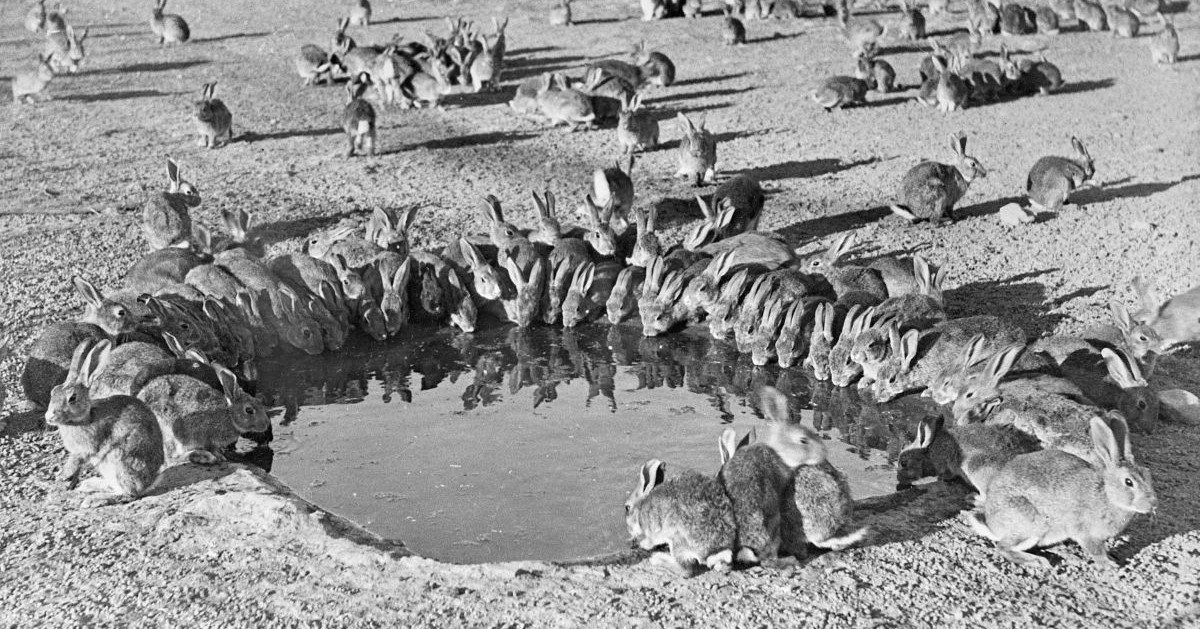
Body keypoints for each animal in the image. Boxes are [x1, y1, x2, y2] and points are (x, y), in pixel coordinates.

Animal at [46, 340, 164, 506]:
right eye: (52, 392)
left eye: (72, 398)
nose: (49, 417)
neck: (85, 417)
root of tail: (151, 480)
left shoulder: (85, 448)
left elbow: (76, 461)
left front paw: (63, 475)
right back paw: (89, 485)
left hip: (121, 462)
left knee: (130, 494)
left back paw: (94, 499)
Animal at [139, 364, 270, 465]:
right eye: (249, 410)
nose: (266, 424)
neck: (229, 415)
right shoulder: (205, 435)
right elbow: (210, 447)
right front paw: (219, 456)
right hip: (169, 432)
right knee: (171, 457)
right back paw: (203, 456)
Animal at [897, 414, 1041, 505]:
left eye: (903, 463)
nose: (899, 480)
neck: (930, 450)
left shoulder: (945, 464)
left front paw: (942, 478)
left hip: (976, 468)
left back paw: (972, 498)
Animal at [965, 414, 1156, 568]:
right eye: (1129, 482)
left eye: (1148, 474)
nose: (1152, 504)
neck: (1108, 496)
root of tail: (992, 524)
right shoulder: (1086, 532)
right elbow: (1096, 551)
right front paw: (1109, 565)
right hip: (1032, 524)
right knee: (1003, 547)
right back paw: (1037, 561)